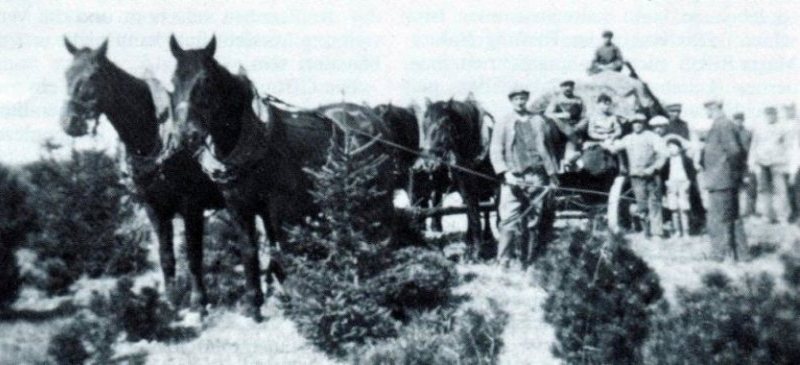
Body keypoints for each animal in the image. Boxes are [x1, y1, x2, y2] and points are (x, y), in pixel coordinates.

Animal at [59, 37, 225, 312]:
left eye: (93, 75)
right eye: (66, 74)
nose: (70, 123)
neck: (156, 135)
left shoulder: (192, 206)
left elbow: (193, 254)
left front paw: (199, 302)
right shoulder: (154, 208)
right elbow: (166, 256)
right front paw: (171, 301)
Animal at [165, 35, 396, 320]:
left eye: (205, 81)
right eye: (173, 81)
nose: (185, 136)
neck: (253, 141)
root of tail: (375, 119)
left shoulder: (279, 206)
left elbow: (283, 248)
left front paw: (295, 300)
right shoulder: (238, 206)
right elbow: (249, 250)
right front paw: (254, 304)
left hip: (378, 193)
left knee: (383, 228)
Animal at [422, 98, 496, 260]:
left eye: (443, 125)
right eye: (424, 125)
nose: (429, 163)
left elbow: (476, 214)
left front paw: (476, 251)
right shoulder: (464, 186)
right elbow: (470, 211)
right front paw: (471, 247)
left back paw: (488, 236)